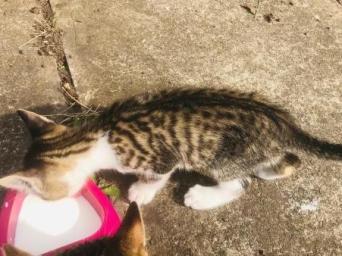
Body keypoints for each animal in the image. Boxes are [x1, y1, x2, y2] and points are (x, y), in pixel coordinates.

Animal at [0, 88, 342, 210]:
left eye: (35, 192)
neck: (91, 138)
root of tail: (283, 124)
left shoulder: (163, 158)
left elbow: (158, 175)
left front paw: (141, 192)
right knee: (290, 162)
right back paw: (271, 169)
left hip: (221, 158)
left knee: (238, 183)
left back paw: (202, 197)